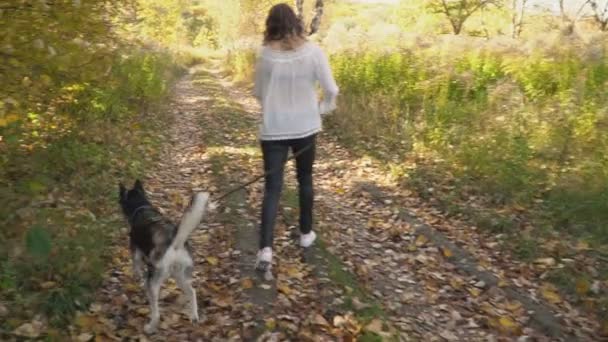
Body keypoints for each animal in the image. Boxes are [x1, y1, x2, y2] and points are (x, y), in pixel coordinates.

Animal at [117, 180, 210, 332]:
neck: (142, 209)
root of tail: (175, 243)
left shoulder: (136, 253)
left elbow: (137, 268)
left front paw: (138, 279)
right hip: (181, 276)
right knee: (192, 292)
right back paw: (194, 316)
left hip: (154, 282)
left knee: (156, 312)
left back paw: (150, 327)